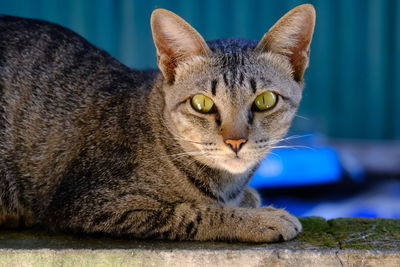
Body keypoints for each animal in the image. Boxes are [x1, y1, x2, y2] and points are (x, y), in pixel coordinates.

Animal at [0, 3, 316, 243]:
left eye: (265, 100)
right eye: (202, 103)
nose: (235, 142)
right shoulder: (89, 204)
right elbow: (191, 212)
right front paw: (259, 219)